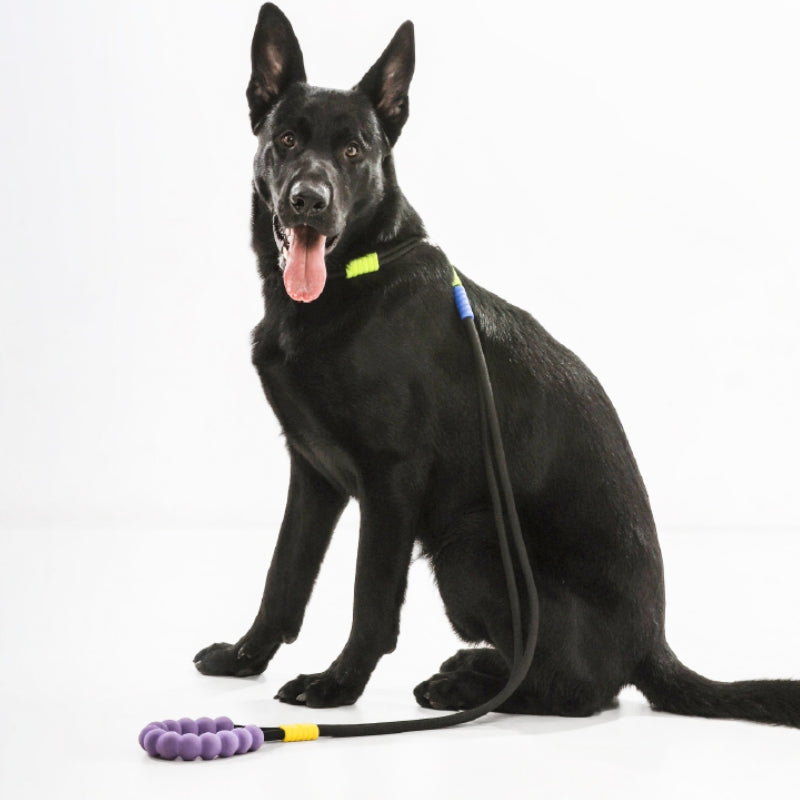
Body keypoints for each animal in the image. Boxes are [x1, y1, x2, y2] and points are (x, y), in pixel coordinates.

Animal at [195, 1, 800, 724]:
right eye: (286, 140)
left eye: (353, 151)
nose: (309, 200)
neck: (358, 274)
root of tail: (650, 646)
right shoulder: (313, 473)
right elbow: (283, 576)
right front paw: (245, 657)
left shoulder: (391, 481)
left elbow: (371, 598)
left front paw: (338, 685)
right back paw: (471, 670)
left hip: (472, 544)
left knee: (580, 690)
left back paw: (470, 689)